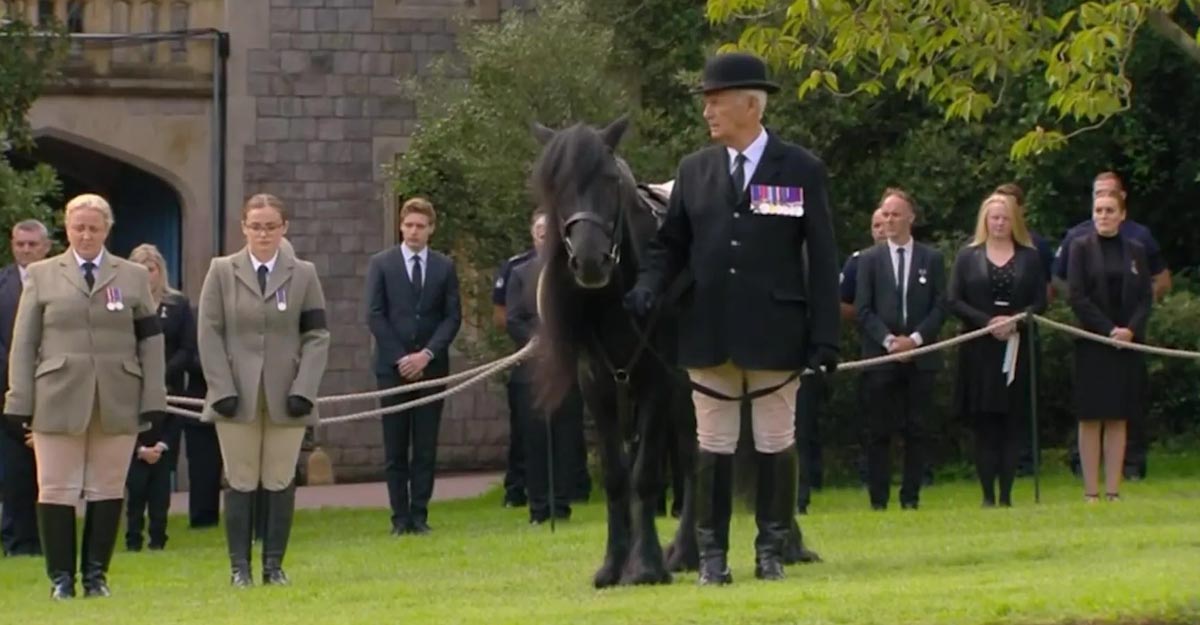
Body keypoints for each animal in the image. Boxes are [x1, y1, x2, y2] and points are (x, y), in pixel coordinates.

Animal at [530, 115, 700, 585]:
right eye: (555, 184)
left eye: (609, 180)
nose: (590, 261)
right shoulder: (597, 384)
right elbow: (615, 473)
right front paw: (614, 562)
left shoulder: (658, 380)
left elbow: (644, 473)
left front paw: (645, 565)